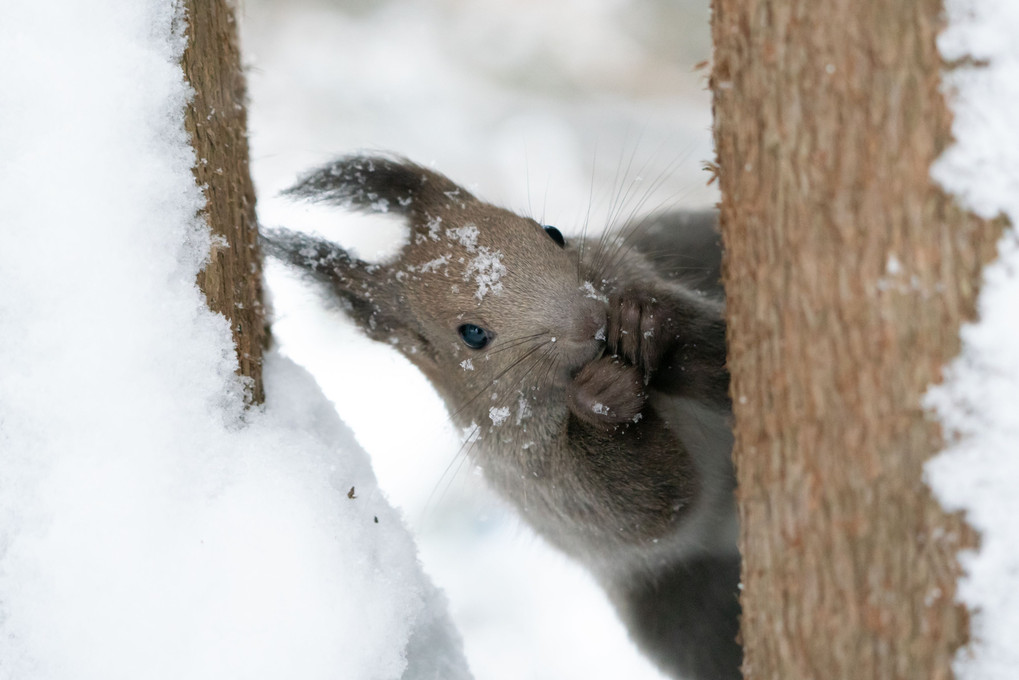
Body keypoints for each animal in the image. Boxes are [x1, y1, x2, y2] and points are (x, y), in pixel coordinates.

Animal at [262, 155, 741, 680]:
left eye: (552, 231)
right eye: (472, 334)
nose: (591, 319)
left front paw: (647, 321)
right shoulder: (532, 476)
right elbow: (645, 508)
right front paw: (602, 398)